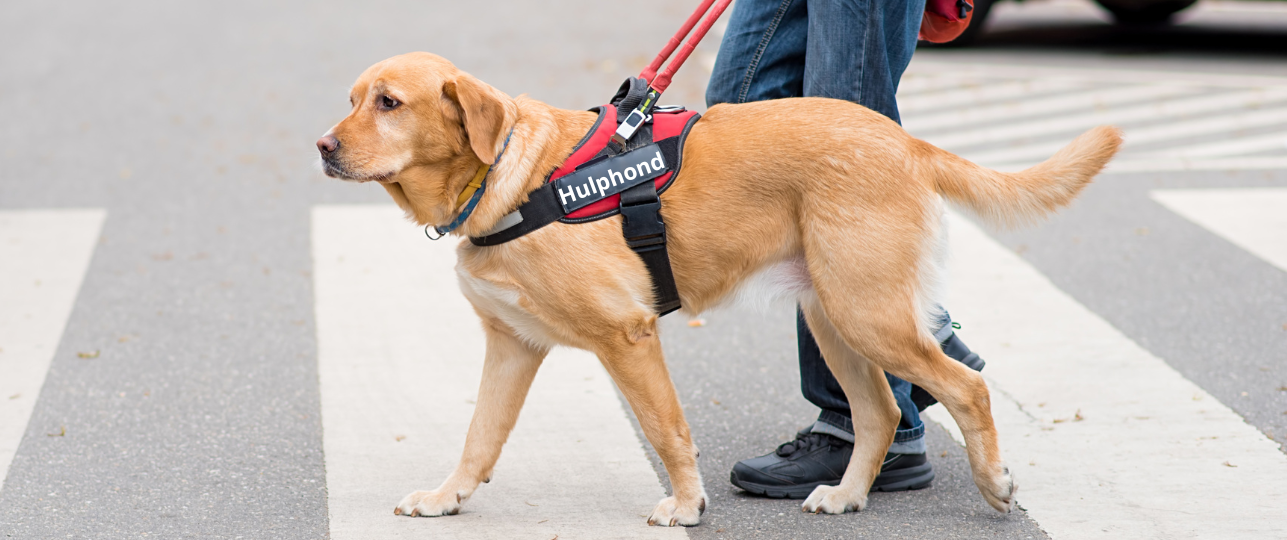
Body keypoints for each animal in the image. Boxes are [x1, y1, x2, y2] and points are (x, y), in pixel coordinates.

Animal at [316, 52, 1122, 524]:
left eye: (388, 103)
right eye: (352, 98)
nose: (322, 147)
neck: (509, 180)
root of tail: (903, 140)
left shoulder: (627, 336)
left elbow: (667, 429)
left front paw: (685, 503)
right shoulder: (512, 346)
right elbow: (479, 439)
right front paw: (446, 496)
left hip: (867, 313)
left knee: (966, 386)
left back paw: (993, 485)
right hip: (833, 317)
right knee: (879, 412)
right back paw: (848, 493)